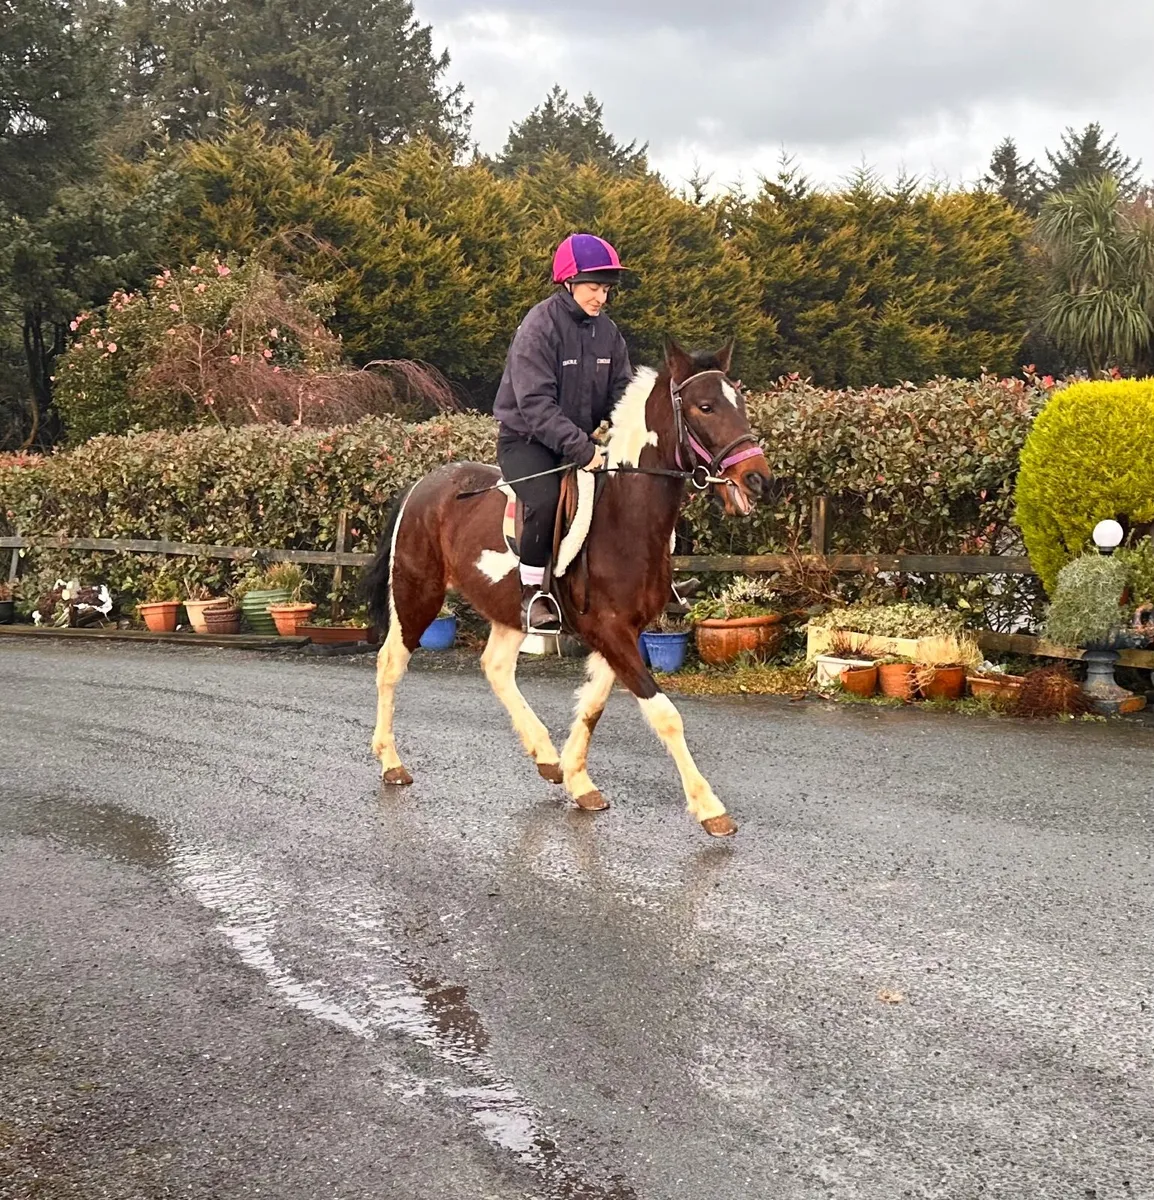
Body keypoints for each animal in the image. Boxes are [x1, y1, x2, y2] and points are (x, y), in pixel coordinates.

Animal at [361, 338, 773, 837]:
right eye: (705, 406)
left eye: (741, 403)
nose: (758, 479)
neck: (625, 517)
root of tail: (422, 485)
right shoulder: (611, 631)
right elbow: (664, 714)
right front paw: (710, 808)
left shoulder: (622, 632)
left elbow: (593, 705)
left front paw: (578, 780)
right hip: (417, 596)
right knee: (390, 665)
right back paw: (391, 762)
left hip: (509, 609)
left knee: (496, 668)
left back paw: (545, 755)